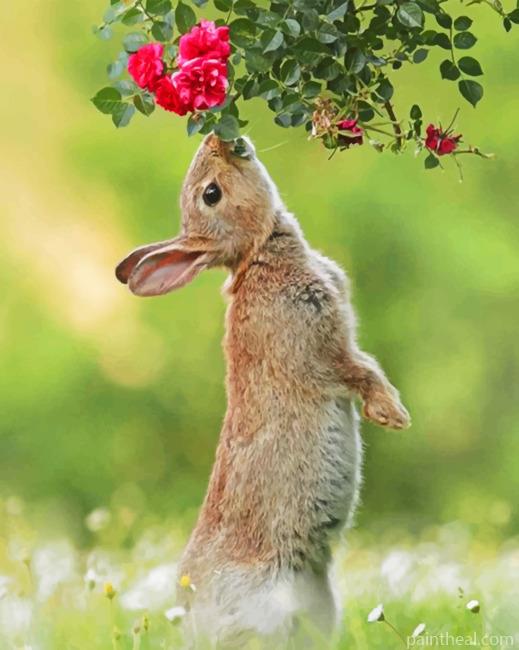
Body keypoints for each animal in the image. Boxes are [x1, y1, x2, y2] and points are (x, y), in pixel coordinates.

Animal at [116, 134, 410, 649]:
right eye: (211, 194)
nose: (219, 138)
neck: (257, 254)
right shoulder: (321, 350)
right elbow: (361, 371)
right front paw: (392, 415)